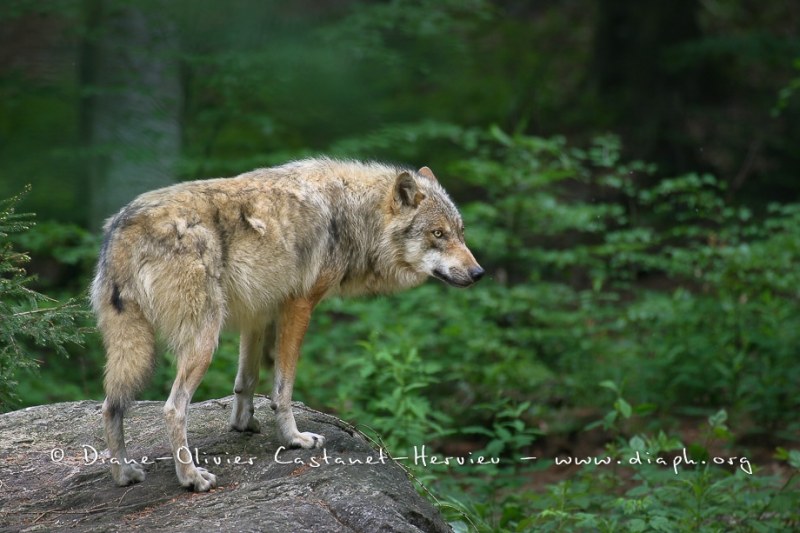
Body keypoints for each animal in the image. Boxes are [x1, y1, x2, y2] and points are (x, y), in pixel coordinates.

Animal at [90, 158, 484, 490]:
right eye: (438, 234)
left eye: (461, 232)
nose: (479, 273)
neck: (351, 215)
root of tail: (124, 225)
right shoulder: (298, 307)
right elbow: (283, 388)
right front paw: (294, 438)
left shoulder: (258, 314)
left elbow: (246, 381)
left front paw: (243, 424)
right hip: (203, 341)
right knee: (173, 409)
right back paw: (191, 478)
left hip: (132, 346)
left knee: (111, 405)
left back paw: (123, 474)